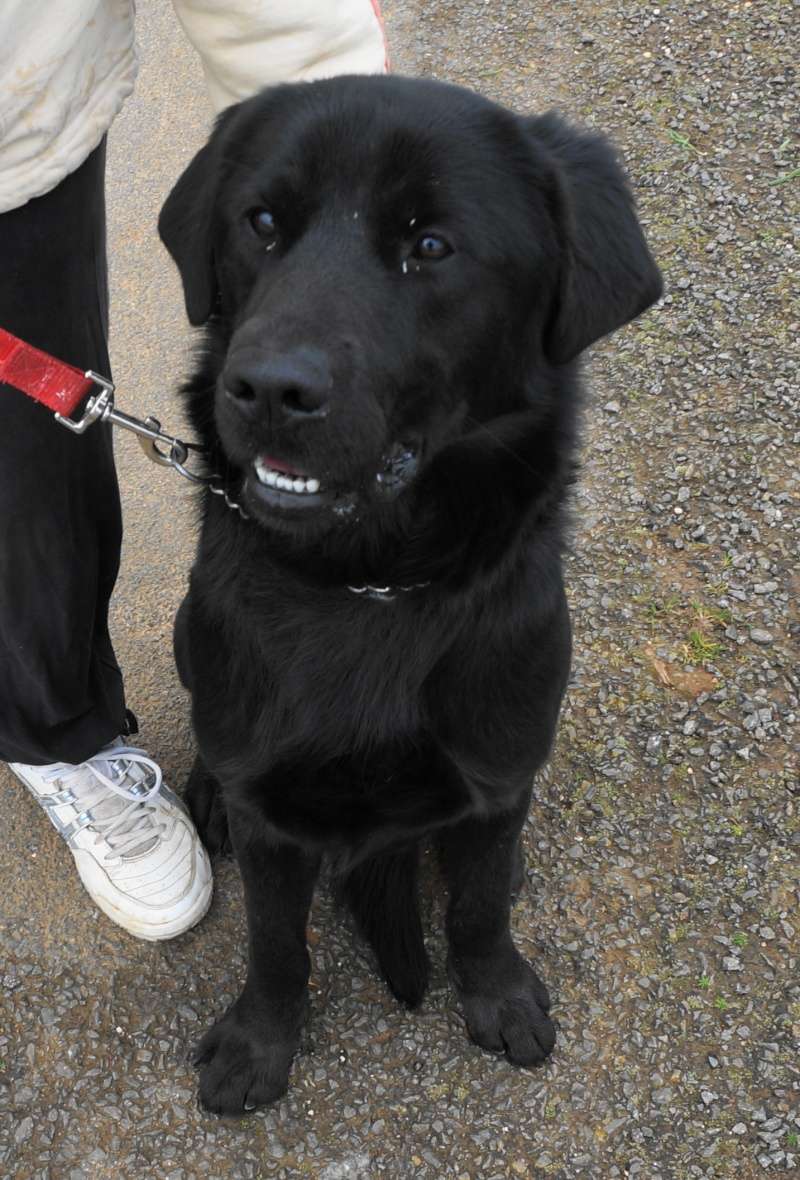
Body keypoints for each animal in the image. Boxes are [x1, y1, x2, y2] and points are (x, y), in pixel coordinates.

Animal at [159, 76, 660, 1113]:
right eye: (261, 223)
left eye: (430, 246)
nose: (266, 389)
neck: (371, 584)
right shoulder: (274, 816)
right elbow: (276, 944)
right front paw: (261, 1044)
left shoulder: (497, 776)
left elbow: (478, 910)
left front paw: (498, 993)